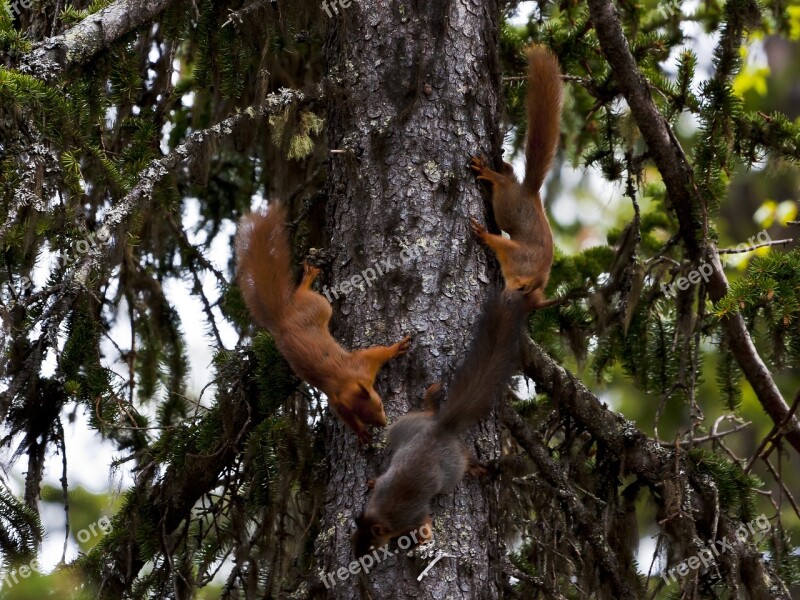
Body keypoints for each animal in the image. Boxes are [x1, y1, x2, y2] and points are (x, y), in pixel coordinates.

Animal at [236, 204, 412, 442]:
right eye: (373, 409)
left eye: (380, 405)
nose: (384, 424)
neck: (345, 381)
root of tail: (281, 317)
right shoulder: (350, 382)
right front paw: (361, 433)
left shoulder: (352, 379)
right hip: (319, 307)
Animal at [350, 292, 524, 556]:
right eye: (352, 539)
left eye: (371, 547)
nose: (357, 557)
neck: (382, 513)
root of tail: (441, 428)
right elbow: (378, 481)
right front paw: (371, 481)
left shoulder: (412, 515)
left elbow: (424, 523)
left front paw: (423, 539)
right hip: (406, 426)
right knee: (428, 415)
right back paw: (431, 400)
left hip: (450, 469)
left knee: (464, 458)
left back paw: (475, 467)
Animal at [468, 45, 564, 310]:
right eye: (515, 298)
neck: (531, 273)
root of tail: (529, 192)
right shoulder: (517, 254)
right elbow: (499, 244)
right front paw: (482, 234)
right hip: (508, 205)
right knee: (503, 182)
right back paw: (489, 172)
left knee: (508, 173)